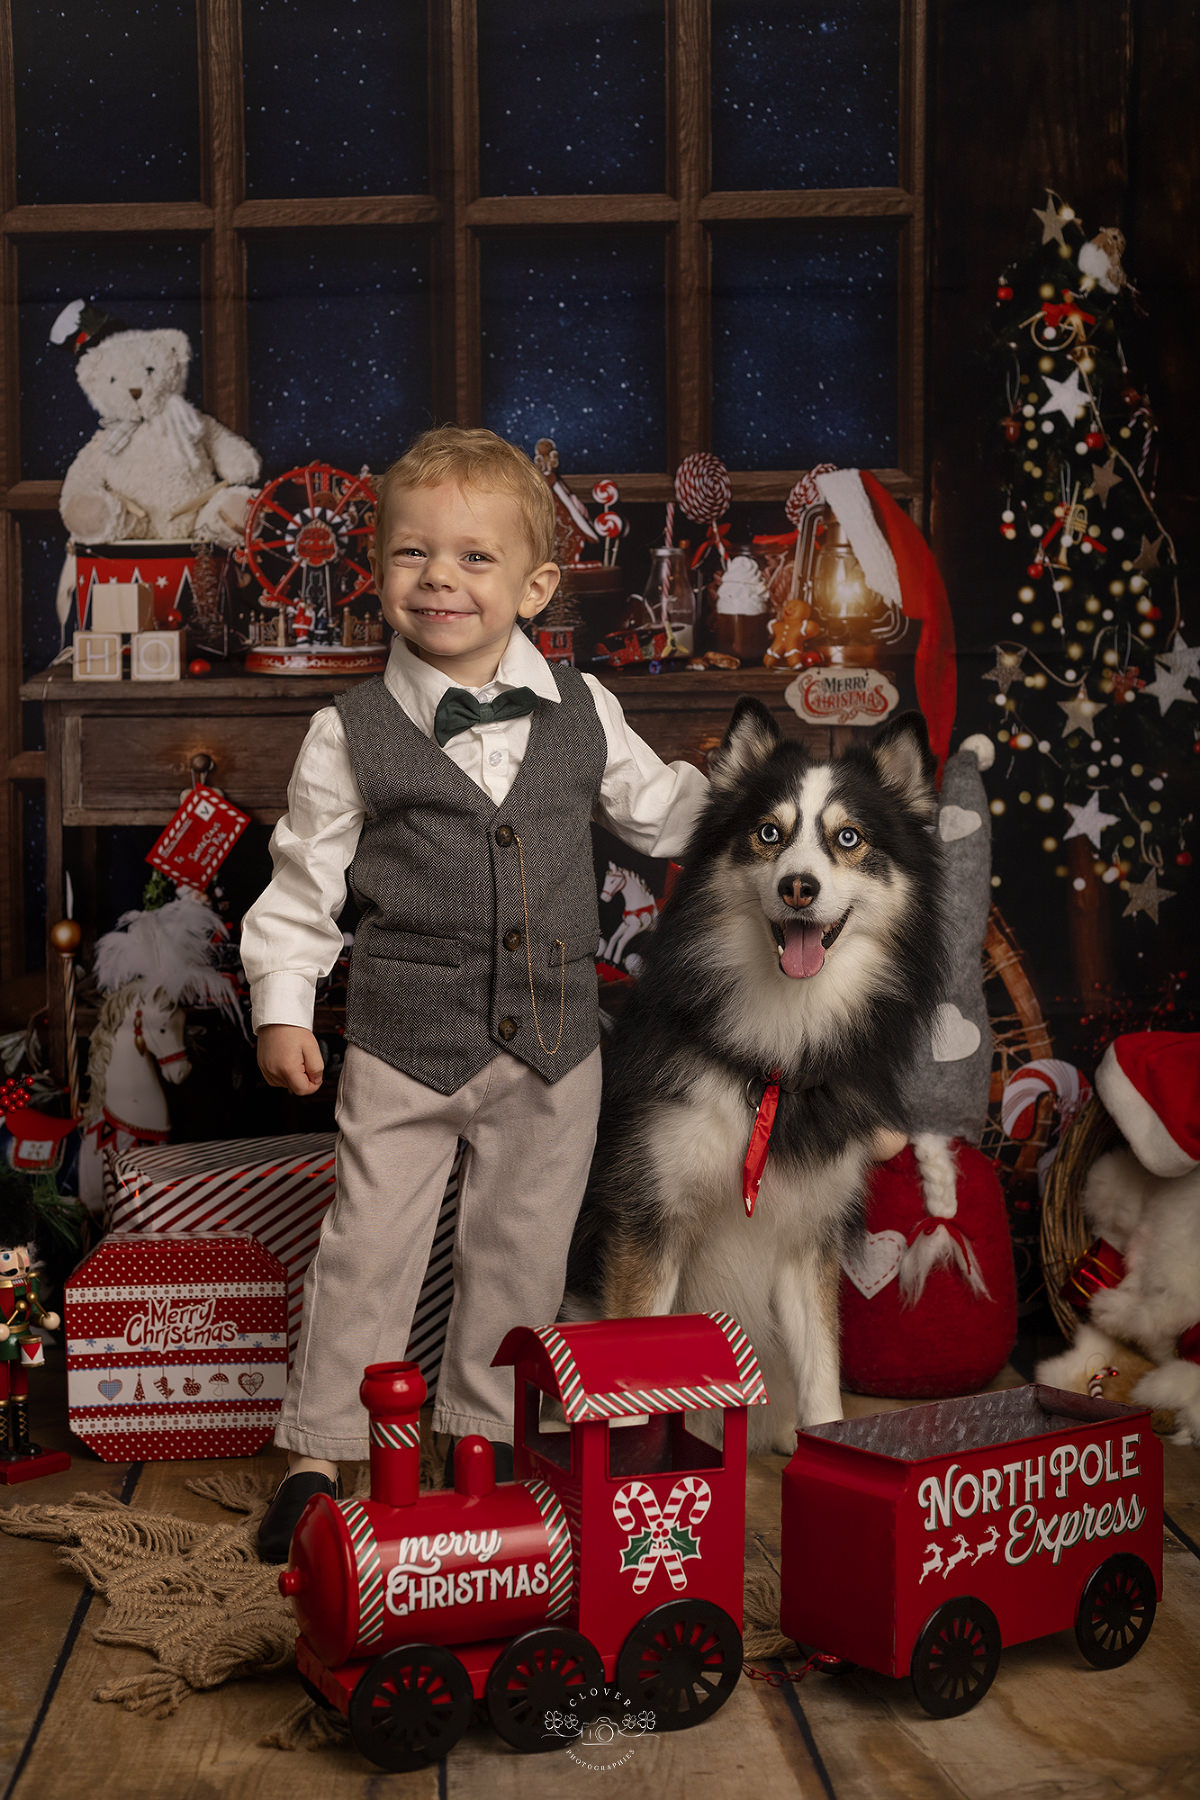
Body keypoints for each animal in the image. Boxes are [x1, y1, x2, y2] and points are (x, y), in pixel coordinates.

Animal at [572, 694, 949, 1454]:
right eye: (769, 833)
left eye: (849, 838)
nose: (798, 887)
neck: (774, 1060)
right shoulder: (647, 1221)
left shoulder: (808, 1240)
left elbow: (823, 1380)